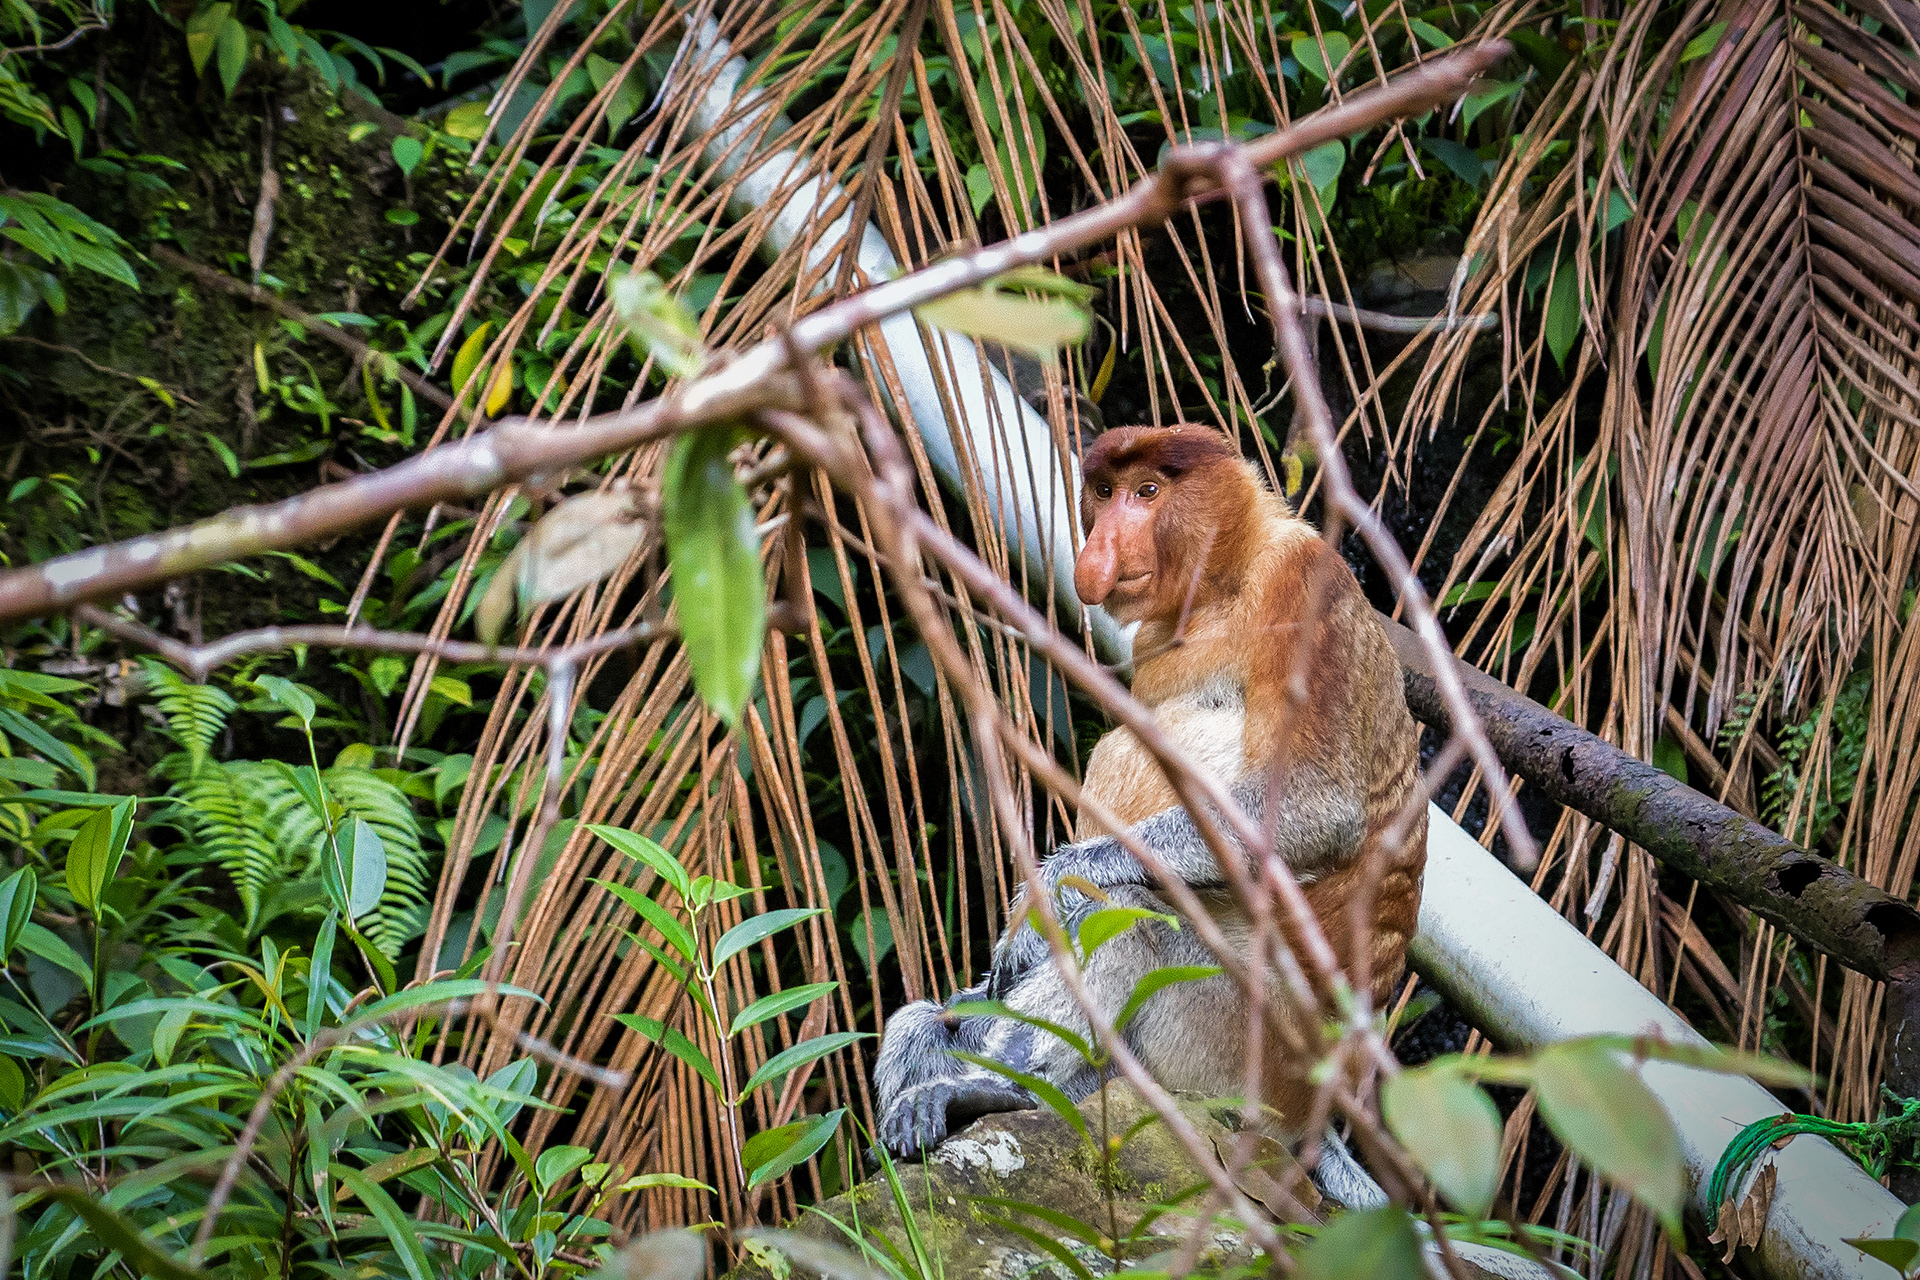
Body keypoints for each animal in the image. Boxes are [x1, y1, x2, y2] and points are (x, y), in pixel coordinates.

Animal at [872, 424, 1426, 1161]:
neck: (1225, 581)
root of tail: (1318, 1113)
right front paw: (1005, 954)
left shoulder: (1302, 584)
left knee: (1132, 913)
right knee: (927, 1017)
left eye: (1149, 492)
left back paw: (996, 1090)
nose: (1100, 549)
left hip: (1235, 1045)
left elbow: (1316, 806)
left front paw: (1051, 890)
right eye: (1104, 493)